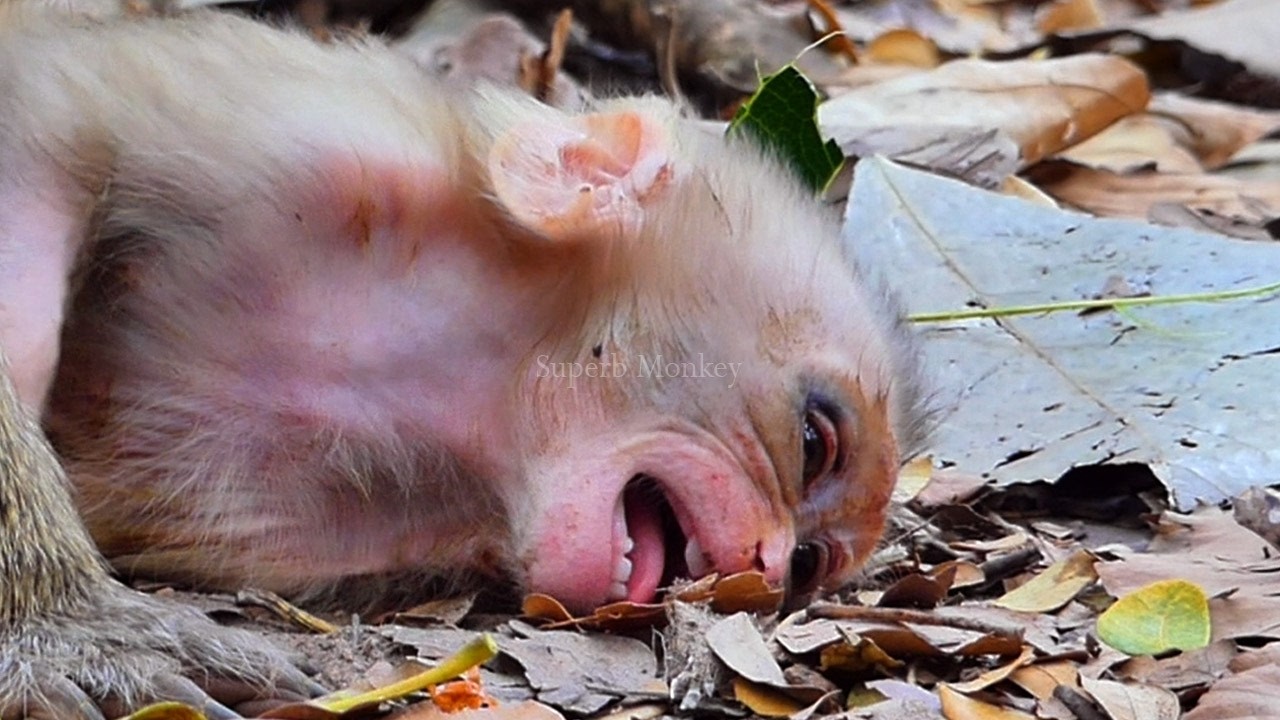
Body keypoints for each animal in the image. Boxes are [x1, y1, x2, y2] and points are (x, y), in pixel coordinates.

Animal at [0, 5, 928, 717]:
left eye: (807, 567)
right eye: (813, 443)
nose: (766, 569)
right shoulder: (311, 147)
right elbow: (46, 142)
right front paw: (64, 623)